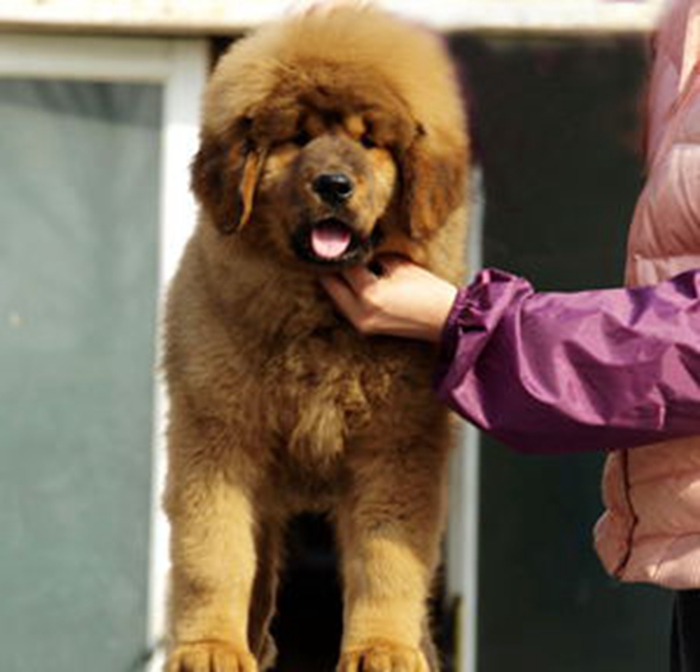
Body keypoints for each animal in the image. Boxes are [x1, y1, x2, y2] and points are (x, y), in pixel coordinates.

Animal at [165, 6, 470, 672]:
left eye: (369, 141)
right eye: (296, 139)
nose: (333, 184)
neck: (317, 323)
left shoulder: (397, 447)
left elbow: (387, 558)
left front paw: (382, 649)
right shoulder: (217, 437)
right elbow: (215, 554)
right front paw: (209, 647)